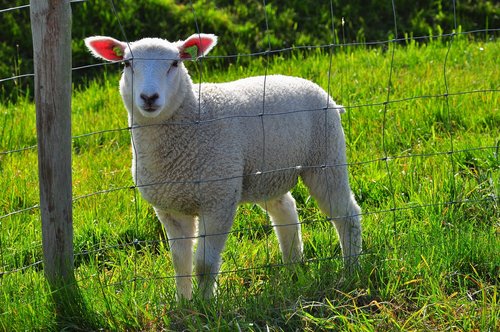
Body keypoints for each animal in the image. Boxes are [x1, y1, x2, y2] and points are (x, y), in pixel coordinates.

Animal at [84, 32, 362, 300]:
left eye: (175, 63)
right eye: (126, 64)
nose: (149, 97)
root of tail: (314, 87)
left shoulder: (218, 200)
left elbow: (204, 264)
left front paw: (207, 304)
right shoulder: (170, 208)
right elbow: (179, 263)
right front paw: (184, 303)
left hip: (326, 158)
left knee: (347, 215)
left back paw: (351, 270)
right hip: (265, 174)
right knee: (286, 212)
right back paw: (293, 268)